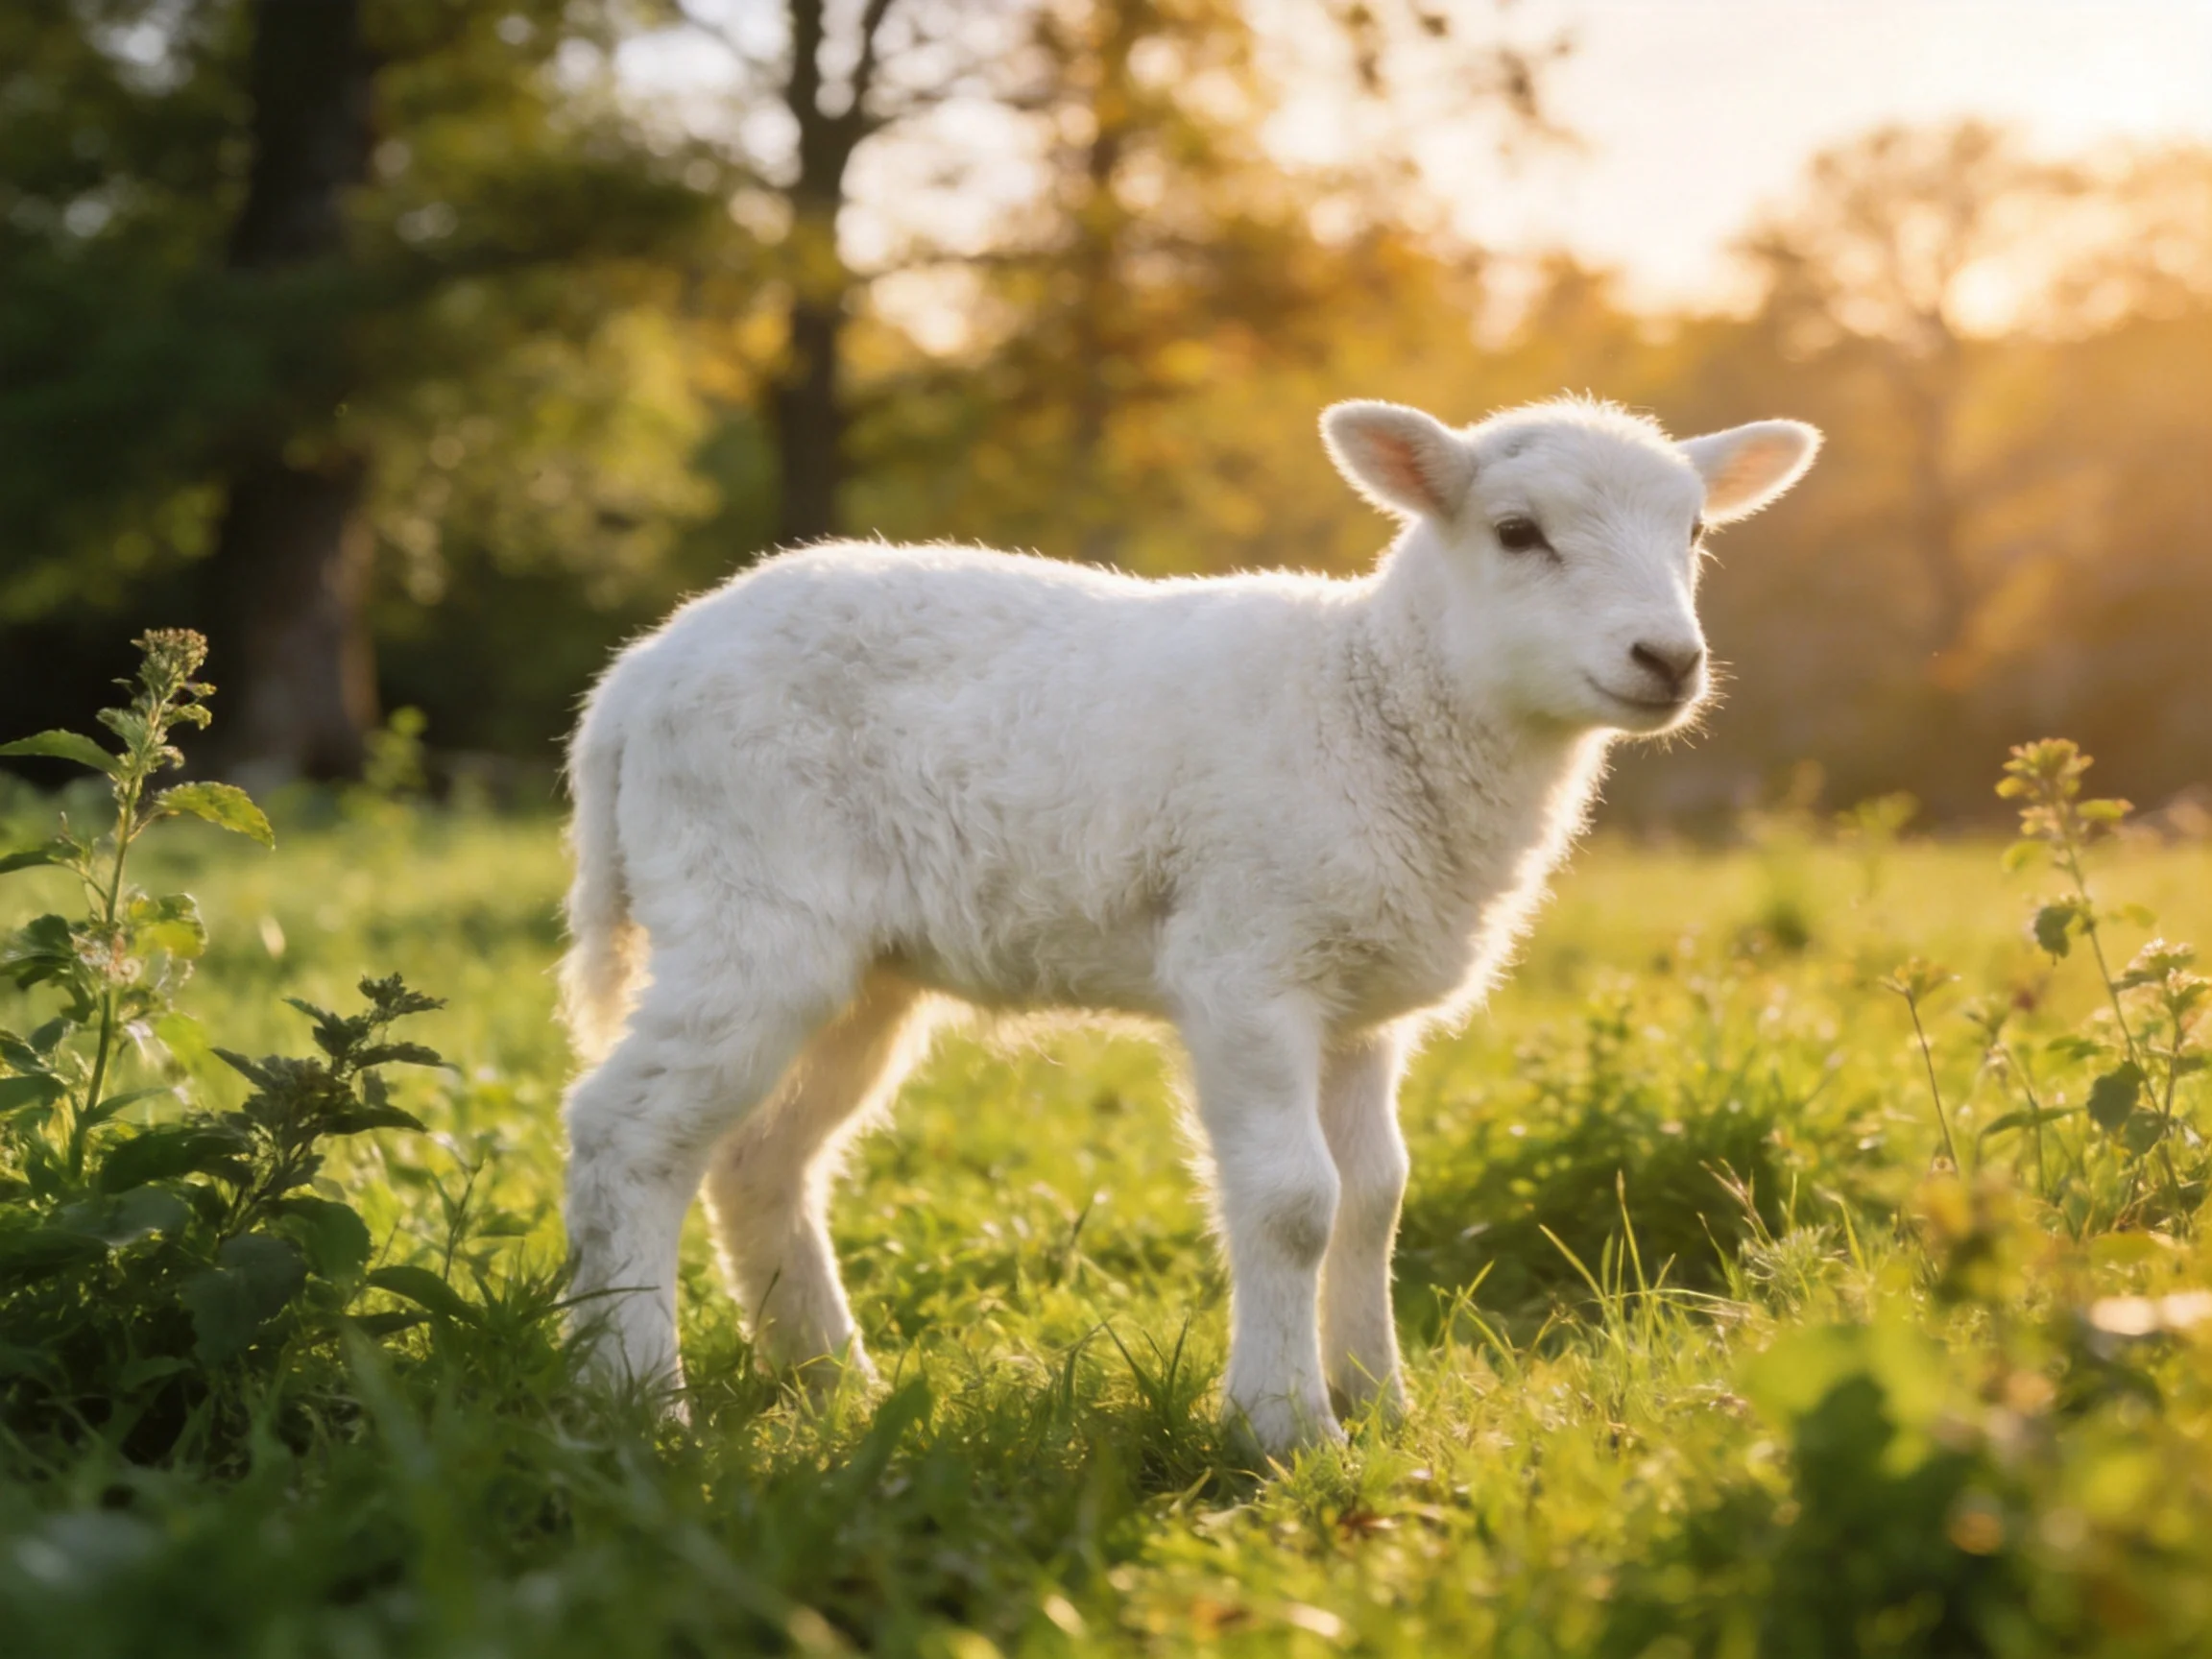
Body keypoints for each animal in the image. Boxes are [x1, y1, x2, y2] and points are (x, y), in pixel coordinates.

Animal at [559, 395, 1821, 1454]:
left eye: (1695, 533)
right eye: (1518, 533)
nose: (1668, 659)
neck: (1375, 697)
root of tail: (636, 674)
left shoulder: (1361, 1000)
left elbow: (1377, 1198)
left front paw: (1381, 1401)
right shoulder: (1246, 967)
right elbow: (1297, 1202)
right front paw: (1286, 1427)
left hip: (863, 969)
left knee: (758, 1159)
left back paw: (831, 1384)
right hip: (746, 909)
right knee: (626, 1134)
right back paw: (634, 1397)